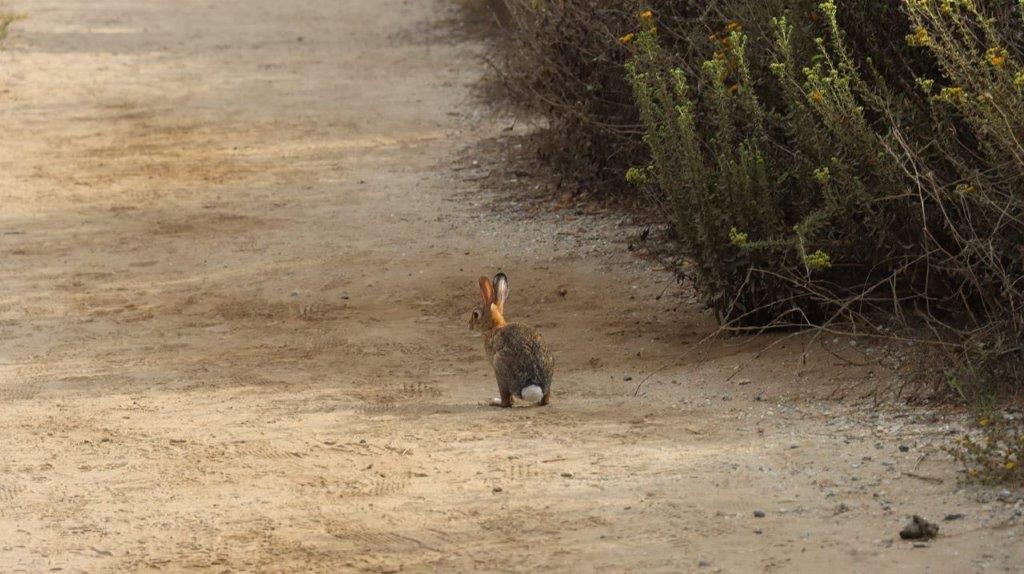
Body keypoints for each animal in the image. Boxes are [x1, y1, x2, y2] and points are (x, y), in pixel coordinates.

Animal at [468, 270, 552, 405]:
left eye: (475, 315)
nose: (469, 325)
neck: (494, 327)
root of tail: (532, 386)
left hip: (499, 368)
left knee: (506, 400)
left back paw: (495, 402)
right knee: (545, 399)